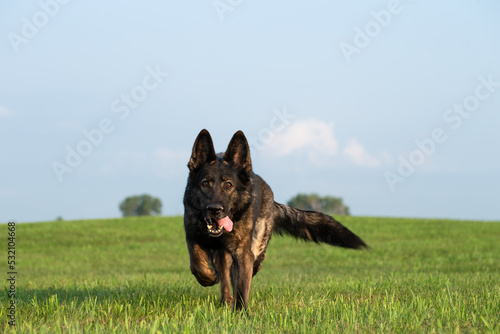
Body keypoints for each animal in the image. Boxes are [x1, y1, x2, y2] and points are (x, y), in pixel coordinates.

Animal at [184, 129, 368, 310]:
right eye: (205, 184)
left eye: (228, 185)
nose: (214, 209)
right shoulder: (193, 237)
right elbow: (197, 264)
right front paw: (208, 278)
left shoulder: (243, 253)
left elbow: (242, 286)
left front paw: (241, 312)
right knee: (224, 275)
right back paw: (225, 299)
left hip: (256, 250)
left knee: (246, 270)